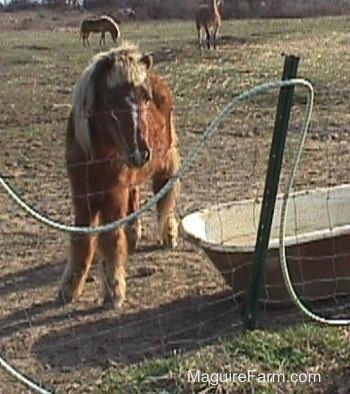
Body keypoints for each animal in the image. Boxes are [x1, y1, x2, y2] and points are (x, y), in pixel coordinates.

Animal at [59, 42, 180, 308]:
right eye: (111, 100)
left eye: (146, 98)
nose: (141, 152)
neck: (96, 156)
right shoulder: (81, 197)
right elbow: (81, 239)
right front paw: (68, 289)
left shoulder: (113, 194)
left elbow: (111, 238)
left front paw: (114, 291)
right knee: (134, 196)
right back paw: (134, 235)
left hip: (165, 163)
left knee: (164, 197)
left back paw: (168, 235)